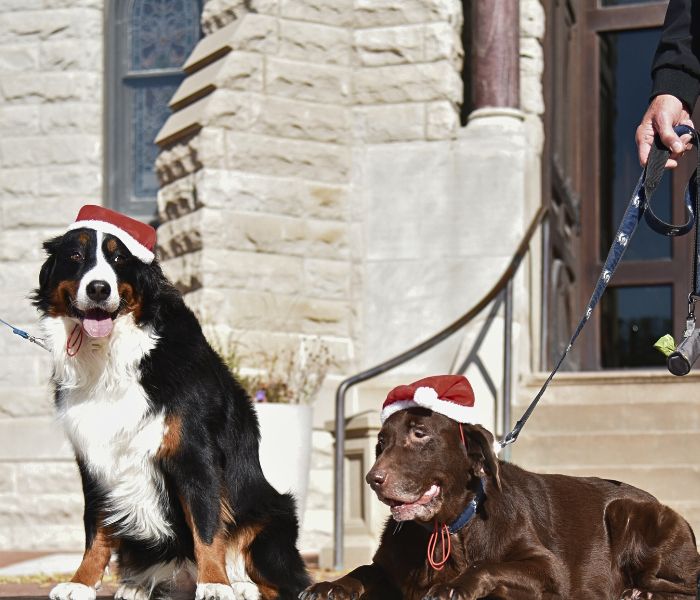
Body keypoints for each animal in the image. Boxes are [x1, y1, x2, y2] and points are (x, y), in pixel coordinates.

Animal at [32, 206, 306, 600]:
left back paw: (239, 585)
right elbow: (95, 527)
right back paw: (136, 586)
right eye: (75, 256)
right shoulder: (93, 456)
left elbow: (206, 525)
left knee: (282, 582)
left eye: (119, 258)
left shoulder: (194, 452)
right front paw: (81, 581)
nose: (99, 288)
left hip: (273, 518)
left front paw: (215, 583)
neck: (112, 358)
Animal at [304, 406, 700, 596]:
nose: (372, 479)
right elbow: (362, 570)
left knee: (682, 586)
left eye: (419, 433)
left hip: (626, 512)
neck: (448, 530)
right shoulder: (388, 569)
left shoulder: (548, 567)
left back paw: (639, 594)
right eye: (380, 443)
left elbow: (488, 565)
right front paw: (327, 586)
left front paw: (452, 586)